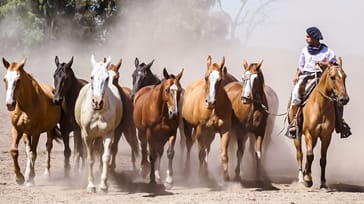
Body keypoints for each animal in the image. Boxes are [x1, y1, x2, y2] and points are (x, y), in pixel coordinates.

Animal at [2, 57, 61, 185]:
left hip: (49, 129)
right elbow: (15, 151)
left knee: (48, 146)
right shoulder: (17, 129)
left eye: (18, 79)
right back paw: (26, 173)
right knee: (28, 150)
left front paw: (31, 179)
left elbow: (34, 153)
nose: (10, 104)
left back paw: (46, 173)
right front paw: (20, 177)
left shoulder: (36, 131)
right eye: (5, 79)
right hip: (26, 133)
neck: (25, 105)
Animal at [74, 54, 123, 193]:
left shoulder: (108, 135)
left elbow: (105, 157)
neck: (98, 112)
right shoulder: (87, 136)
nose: (97, 102)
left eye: (106, 78)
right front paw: (91, 185)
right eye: (92, 76)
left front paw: (103, 185)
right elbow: (90, 159)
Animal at [292, 57, 348, 188]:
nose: (344, 99)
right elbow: (309, 155)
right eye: (332, 77)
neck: (320, 106)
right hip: (297, 136)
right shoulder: (308, 133)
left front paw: (323, 182)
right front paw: (308, 179)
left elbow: (323, 160)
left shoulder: (326, 136)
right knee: (300, 154)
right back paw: (301, 178)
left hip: (315, 138)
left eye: (344, 76)